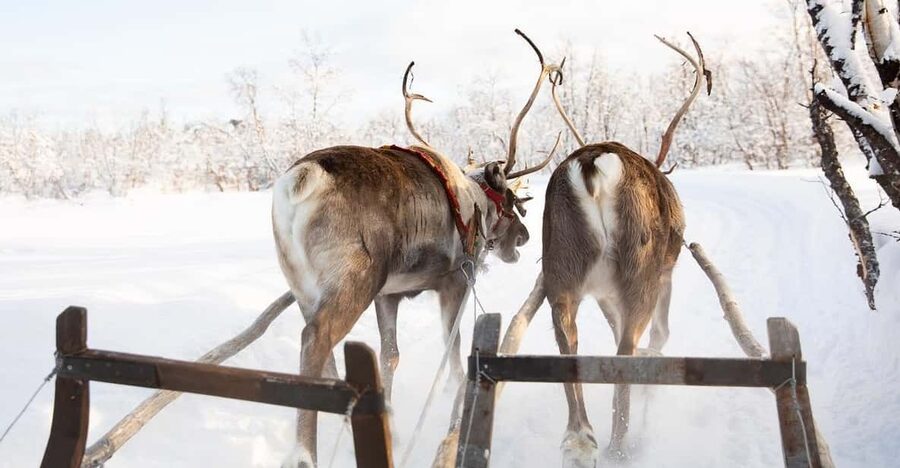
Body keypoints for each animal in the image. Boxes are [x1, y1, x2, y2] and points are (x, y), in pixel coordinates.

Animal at [272, 29, 560, 468]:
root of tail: (301, 179)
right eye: (511, 202)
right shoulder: (454, 282)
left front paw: (389, 419)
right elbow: (453, 351)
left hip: (305, 286)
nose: (525, 237)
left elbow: (389, 355)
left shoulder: (389, 295)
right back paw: (306, 453)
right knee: (315, 339)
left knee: (327, 353)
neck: (476, 202)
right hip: (355, 279)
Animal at [498, 33, 710, 467]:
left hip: (561, 269)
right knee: (626, 349)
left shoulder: (600, 293)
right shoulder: (665, 274)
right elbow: (660, 335)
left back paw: (580, 440)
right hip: (641, 270)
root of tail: (593, 165)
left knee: (569, 344)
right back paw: (621, 445)